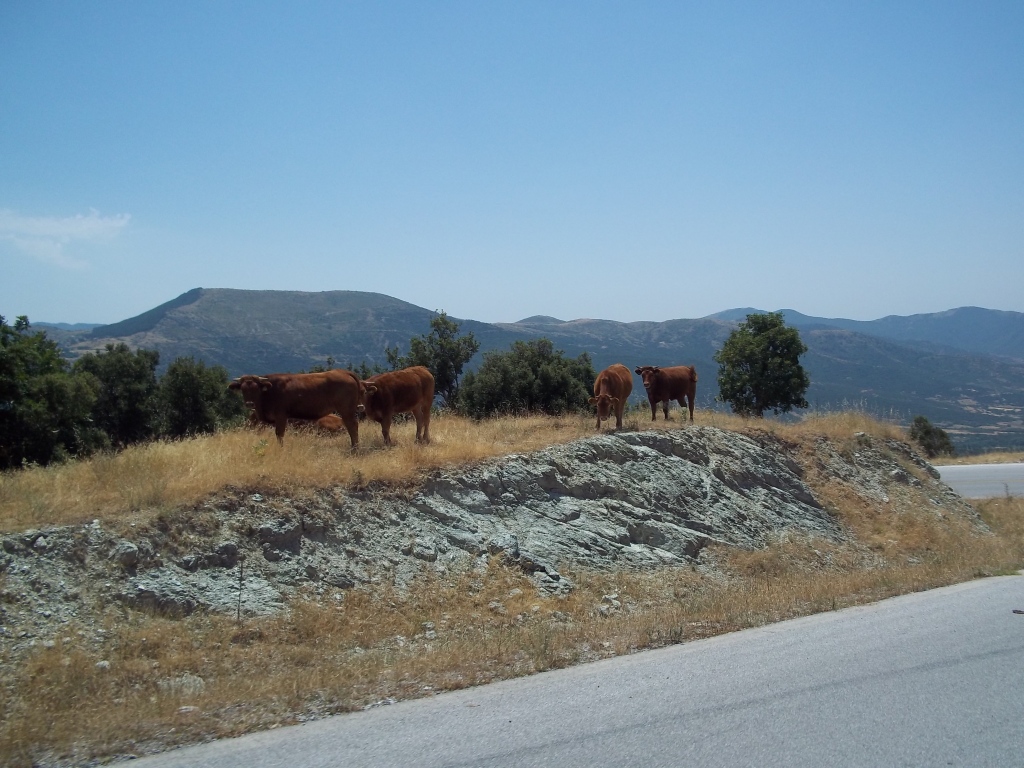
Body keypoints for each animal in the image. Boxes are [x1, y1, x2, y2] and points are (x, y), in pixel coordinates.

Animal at [230, 370, 366, 448]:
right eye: (243, 389)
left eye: (255, 389)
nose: (249, 404)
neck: (268, 392)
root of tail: (343, 372)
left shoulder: (281, 416)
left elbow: (279, 434)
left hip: (346, 409)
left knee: (352, 426)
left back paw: (355, 448)